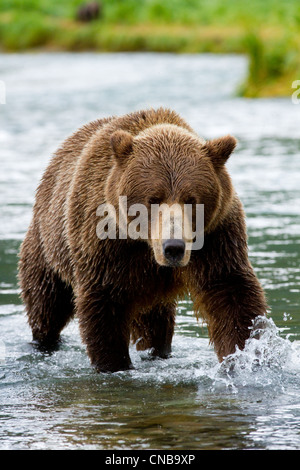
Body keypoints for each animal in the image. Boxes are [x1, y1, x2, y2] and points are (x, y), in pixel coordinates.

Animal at [18, 108, 268, 372]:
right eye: (153, 198)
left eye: (191, 199)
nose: (174, 247)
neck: (146, 246)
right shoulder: (106, 245)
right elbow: (103, 307)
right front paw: (113, 363)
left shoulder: (216, 237)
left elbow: (230, 293)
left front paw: (245, 357)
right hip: (47, 244)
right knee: (46, 302)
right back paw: (43, 341)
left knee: (154, 325)